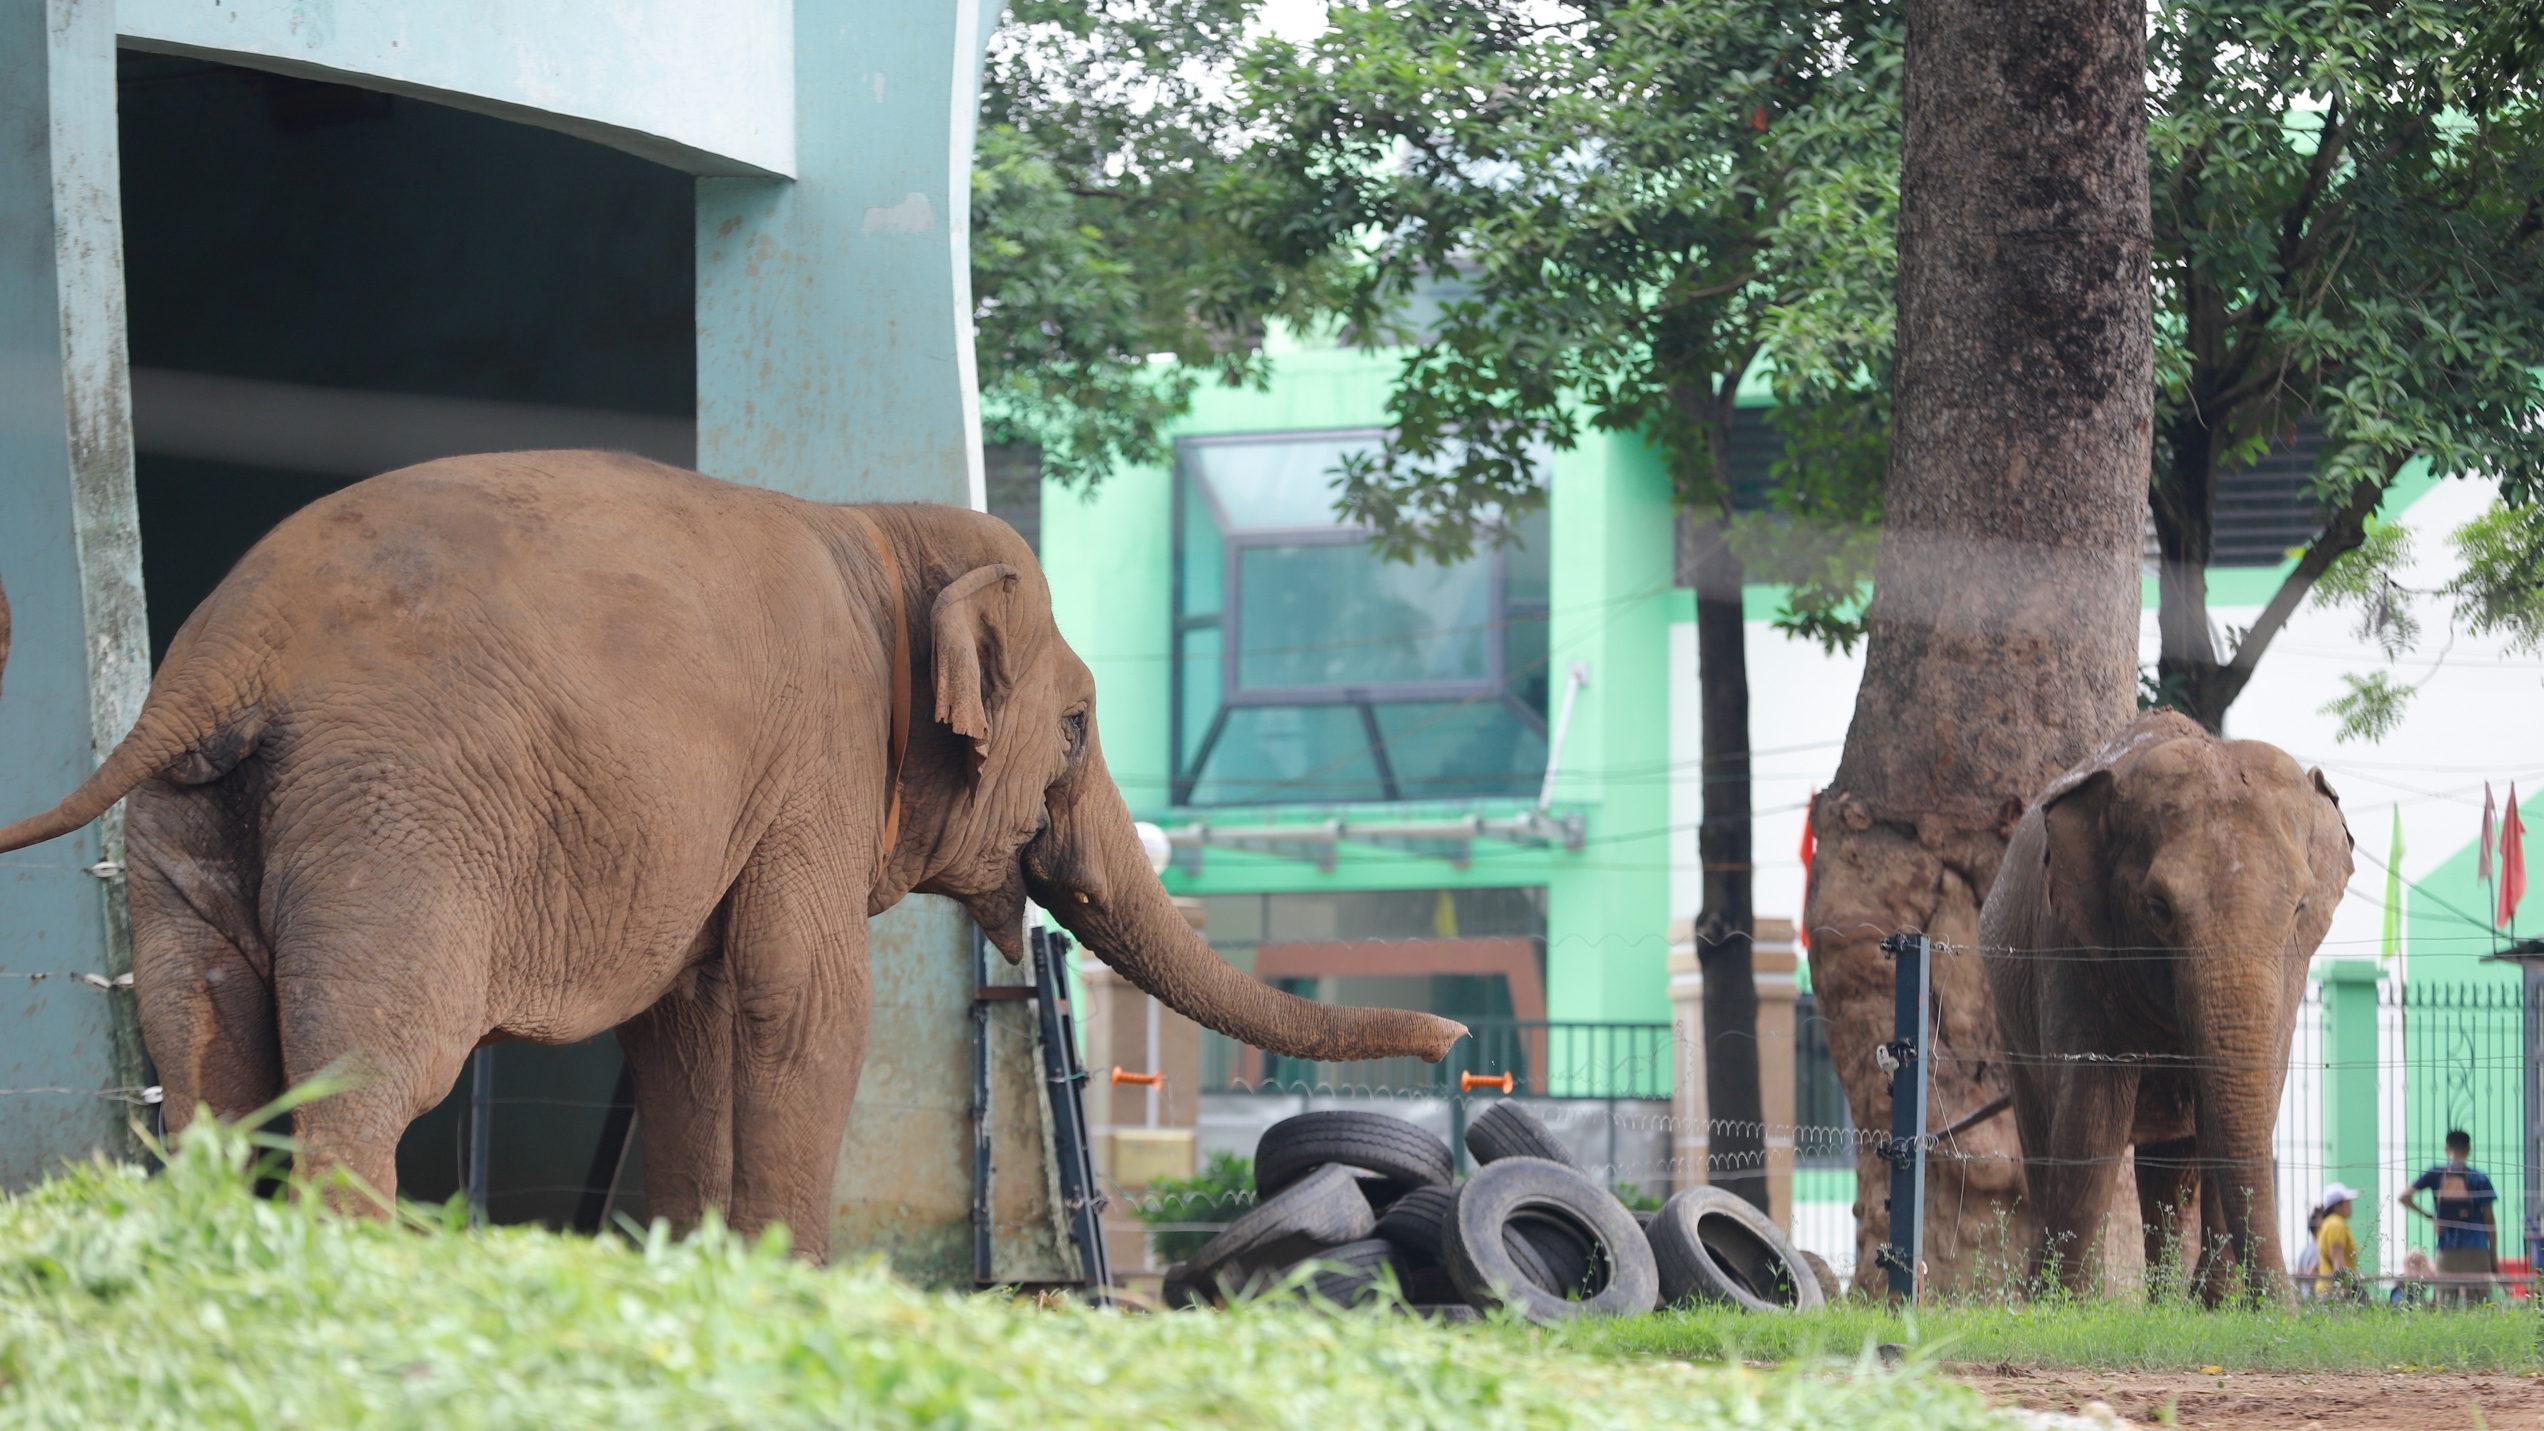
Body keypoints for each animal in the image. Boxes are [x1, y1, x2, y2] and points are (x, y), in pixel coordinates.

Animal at [0, 450, 1465, 1252]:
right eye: (1080, 723)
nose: (1456, 1042)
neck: (878, 528)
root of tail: (224, 655)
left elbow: (690, 1021)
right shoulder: (816, 760)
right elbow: (803, 1005)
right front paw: (799, 1281)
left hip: (188, 825)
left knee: (205, 1054)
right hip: (395, 805)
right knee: (377, 1061)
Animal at [1974, 707, 2350, 1298]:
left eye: (2300, 908)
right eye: (2158, 908)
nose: (2285, 1306)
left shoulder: (2291, 975)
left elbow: (2246, 1103)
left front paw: (2217, 1305)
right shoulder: (2070, 947)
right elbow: (2093, 1113)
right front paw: (2071, 1306)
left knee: (2169, 1173)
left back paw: (2168, 1300)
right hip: (2009, 1009)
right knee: (2042, 1138)